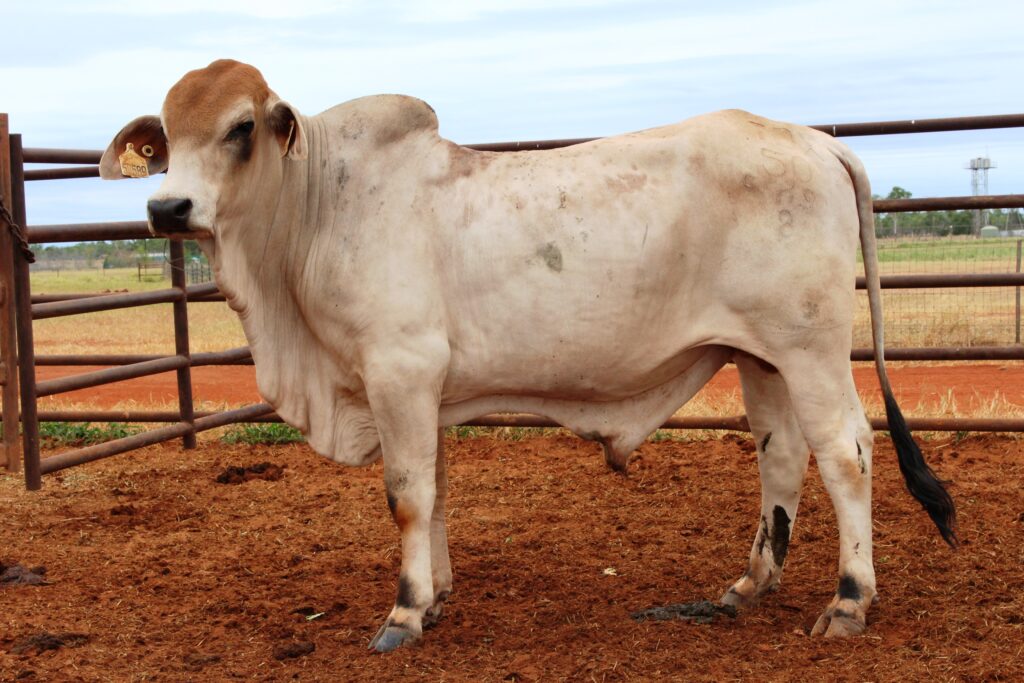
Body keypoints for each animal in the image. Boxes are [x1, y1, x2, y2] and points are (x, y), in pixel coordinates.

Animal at [99, 58, 954, 651]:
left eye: (241, 127)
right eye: (166, 137)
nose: (167, 207)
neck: (317, 207)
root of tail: (814, 141)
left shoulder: (398, 370)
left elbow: (406, 493)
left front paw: (404, 610)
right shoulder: (424, 389)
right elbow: (436, 490)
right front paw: (438, 592)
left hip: (810, 350)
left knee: (847, 454)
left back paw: (848, 598)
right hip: (760, 355)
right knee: (780, 458)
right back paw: (750, 584)